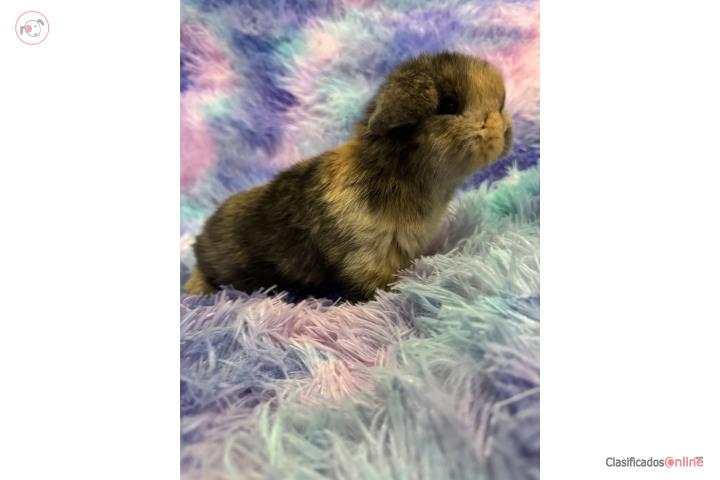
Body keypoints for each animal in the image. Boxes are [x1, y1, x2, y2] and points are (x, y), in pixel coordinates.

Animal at [184, 51, 513, 301]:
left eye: (500, 104)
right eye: (449, 104)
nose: (503, 132)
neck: (396, 171)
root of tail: (200, 239)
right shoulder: (364, 256)